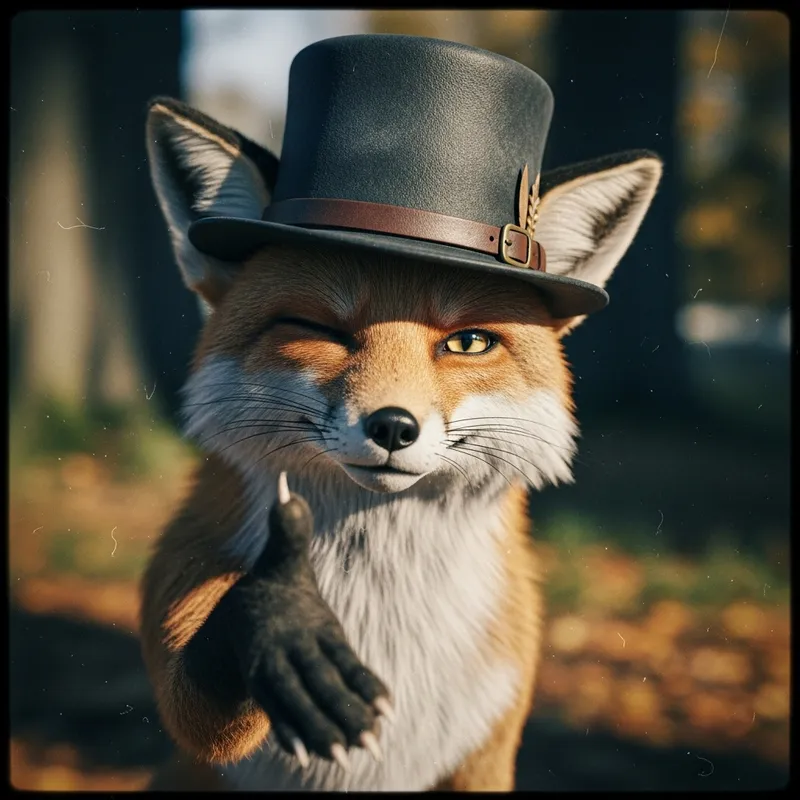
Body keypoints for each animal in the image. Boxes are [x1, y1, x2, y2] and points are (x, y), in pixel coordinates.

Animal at [139, 91, 661, 791]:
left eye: (469, 343)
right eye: (318, 329)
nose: (392, 426)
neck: (383, 618)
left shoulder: (487, 749)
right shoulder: (182, 578)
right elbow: (193, 710)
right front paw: (277, 616)